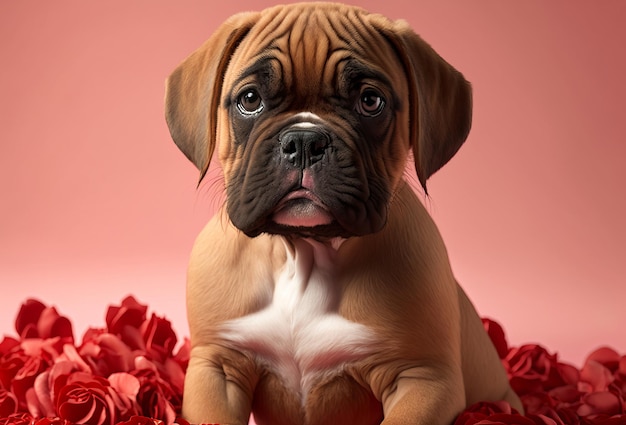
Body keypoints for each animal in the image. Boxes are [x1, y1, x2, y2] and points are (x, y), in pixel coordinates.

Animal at [163, 3, 520, 424]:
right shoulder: (216, 367)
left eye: (370, 101)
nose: (304, 141)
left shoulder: (424, 379)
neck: (303, 252)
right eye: (249, 99)